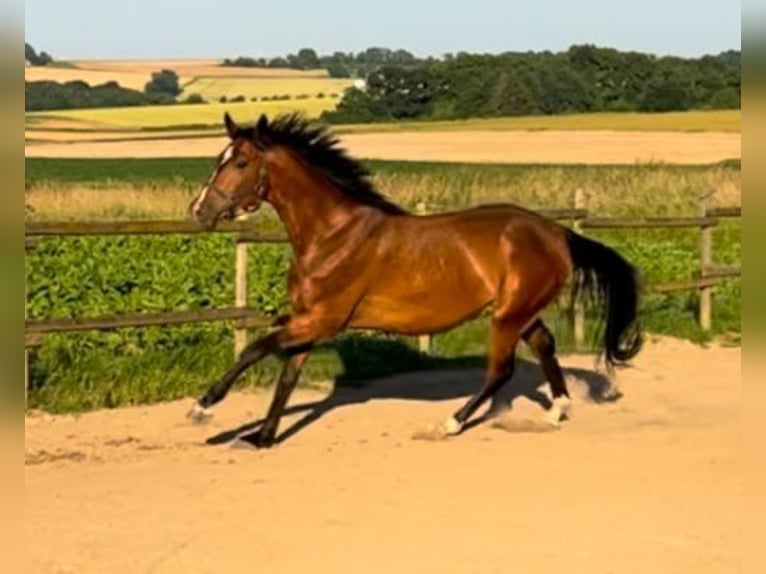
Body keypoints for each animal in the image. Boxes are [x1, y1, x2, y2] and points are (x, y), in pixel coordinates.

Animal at [189, 110, 644, 448]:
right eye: (218, 159)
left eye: (241, 162)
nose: (199, 210)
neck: (332, 235)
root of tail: (556, 232)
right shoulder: (308, 320)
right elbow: (287, 374)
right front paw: (263, 436)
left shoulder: (323, 319)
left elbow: (256, 349)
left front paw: (203, 408)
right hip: (520, 310)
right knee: (545, 346)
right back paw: (556, 410)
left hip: (507, 316)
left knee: (500, 371)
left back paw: (449, 424)